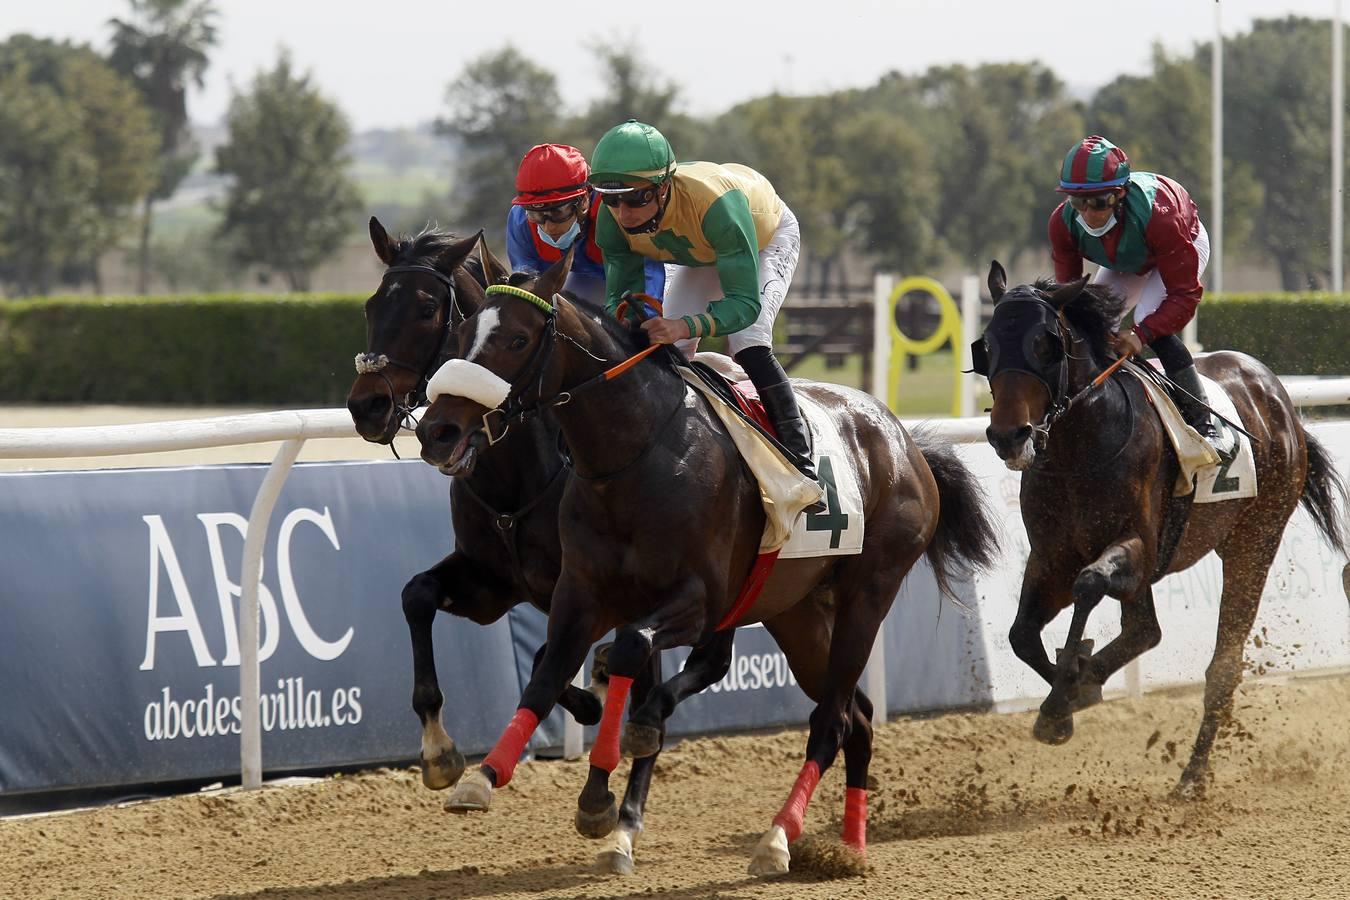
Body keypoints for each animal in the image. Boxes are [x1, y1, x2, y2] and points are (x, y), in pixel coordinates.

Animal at [410, 252, 993, 874]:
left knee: (830, 719)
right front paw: (481, 775)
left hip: (868, 593)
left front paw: (611, 785)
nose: (438, 429)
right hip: (796, 612)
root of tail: (905, 441)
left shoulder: (699, 599)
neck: (634, 457)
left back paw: (777, 839)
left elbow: (630, 651)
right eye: (464, 334)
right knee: (855, 718)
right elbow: (543, 674)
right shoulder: (576, 592)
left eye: (518, 339)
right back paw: (850, 847)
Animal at [977, 261, 1344, 804]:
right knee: (1145, 629)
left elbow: (1091, 584)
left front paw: (1066, 692)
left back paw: (1193, 775)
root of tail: (1279, 399)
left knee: (1221, 665)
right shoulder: (1051, 558)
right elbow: (1022, 634)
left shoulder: (1138, 548)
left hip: (1255, 541)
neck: (1079, 449)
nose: (1009, 435)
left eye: (1045, 344)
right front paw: (1071, 693)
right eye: (986, 345)